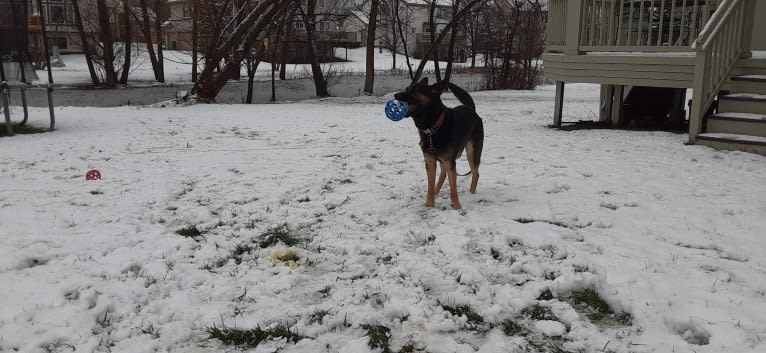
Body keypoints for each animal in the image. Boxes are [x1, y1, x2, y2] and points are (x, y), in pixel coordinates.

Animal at [396, 77, 486, 209]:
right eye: (407, 88)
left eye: (415, 90)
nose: (395, 95)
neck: (433, 128)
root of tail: (471, 109)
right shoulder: (430, 161)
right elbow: (430, 185)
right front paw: (429, 203)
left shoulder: (450, 162)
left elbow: (453, 188)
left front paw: (457, 206)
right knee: (443, 174)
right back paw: (436, 191)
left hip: (472, 153)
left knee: (476, 173)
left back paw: (471, 193)